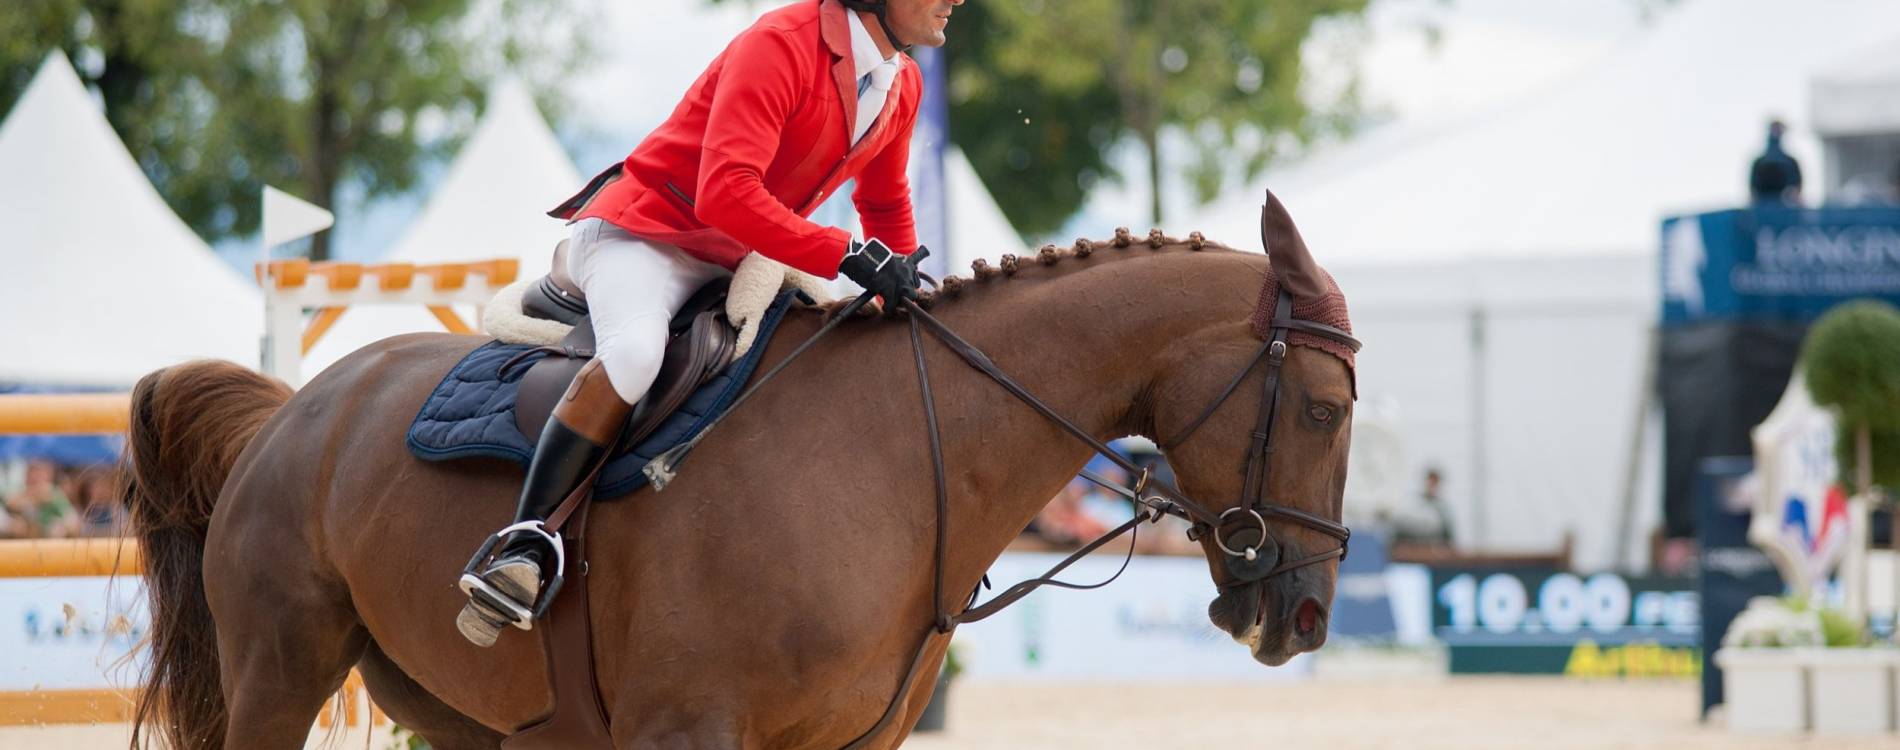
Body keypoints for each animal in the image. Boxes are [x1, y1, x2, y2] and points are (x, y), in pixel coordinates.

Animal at [122, 201, 1352, 750]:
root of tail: (295, 412)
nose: (1303, 617)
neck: (900, 457)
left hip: (462, 709)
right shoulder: (692, 732)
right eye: (1326, 408)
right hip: (281, 670)